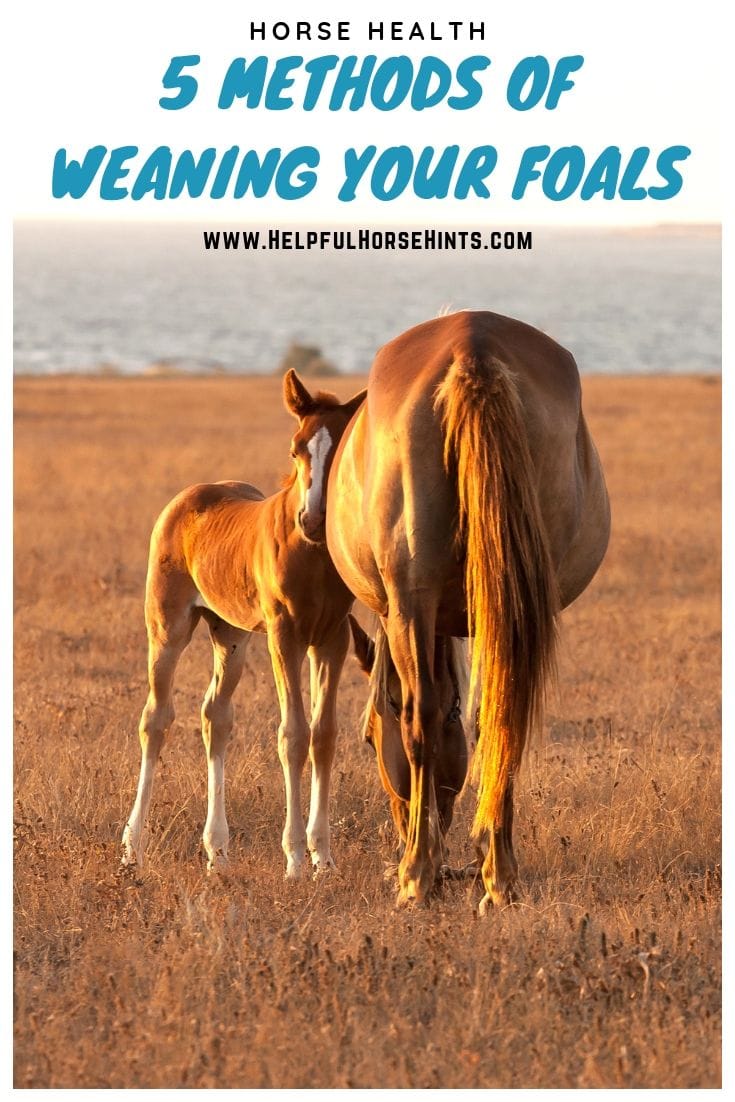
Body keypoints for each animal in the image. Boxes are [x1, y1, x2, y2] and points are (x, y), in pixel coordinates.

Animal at [121, 370, 366, 878]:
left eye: (339, 451)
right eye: (295, 449)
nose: (313, 519)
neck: (311, 556)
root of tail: (189, 496)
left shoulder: (333, 638)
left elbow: (324, 734)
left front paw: (324, 858)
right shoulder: (284, 636)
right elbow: (293, 735)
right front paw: (294, 860)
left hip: (229, 635)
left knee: (216, 716)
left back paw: (217, 851)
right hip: (168, 628)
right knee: (156, 718)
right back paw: (133, 848)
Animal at [326, 310, 610, 911]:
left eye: (368, 738)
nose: (399, 823)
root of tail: (471, 346)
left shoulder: (409, 613)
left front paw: (424, 863)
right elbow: (481, 722)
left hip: (411, 601)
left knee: (421, 720)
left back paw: (416, 872)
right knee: (507, 715)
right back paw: (499, 874)